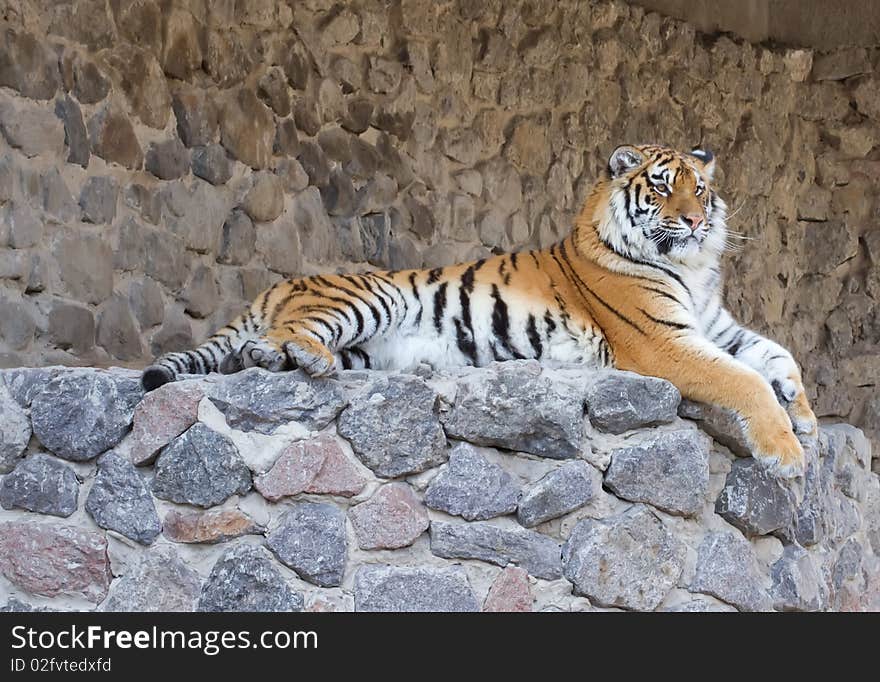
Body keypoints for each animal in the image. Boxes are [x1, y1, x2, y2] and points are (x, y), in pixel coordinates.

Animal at [141, 142, 816, 472]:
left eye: (699, 188)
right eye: (661, 186)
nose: (697, 221)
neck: (693, 268)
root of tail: (272, 289)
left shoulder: (713, 326)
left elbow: (775, 354)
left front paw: (804, 414)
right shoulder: (663, 341)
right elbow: (743, 380)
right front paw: (787, 453)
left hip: (362, 348)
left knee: (256, 351)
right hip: (369, 296)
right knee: (288, 333)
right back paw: (311, 361)